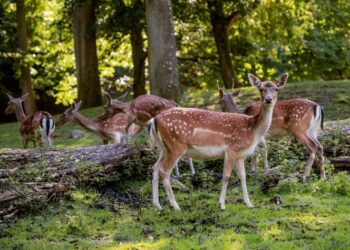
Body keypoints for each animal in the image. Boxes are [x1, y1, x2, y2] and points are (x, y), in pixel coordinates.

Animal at [148, 73, 288, 211]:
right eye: (260, 88)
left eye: (276, 89)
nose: (268, 99)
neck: (252, 130)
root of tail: (154, 119)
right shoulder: (231, 149)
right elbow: (226, 176)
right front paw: (222, 205)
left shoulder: (240, 155)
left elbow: (243, 176)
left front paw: (249, 204)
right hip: (176, 146)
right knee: (164, 172)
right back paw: (175, 206)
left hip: (164, 148)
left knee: (155, 167)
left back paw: (157, 205)